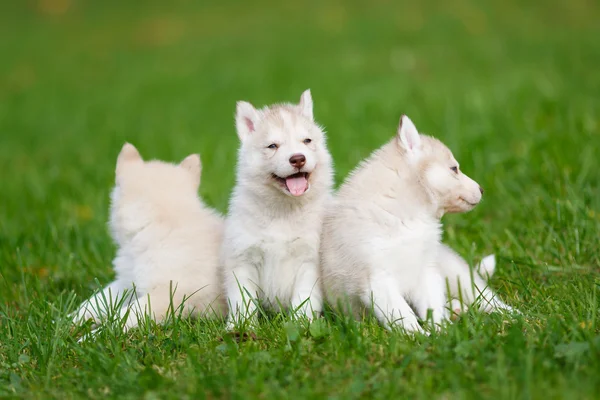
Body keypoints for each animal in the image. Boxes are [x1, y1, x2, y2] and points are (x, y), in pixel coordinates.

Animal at [72, 144, 226, 332]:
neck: (162, 227)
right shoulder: (127, 282)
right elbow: (97, 300)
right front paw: (69, 320)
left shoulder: (168, 295)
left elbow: (124, 316)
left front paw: (95, 334)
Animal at [221, 89, 336, 326]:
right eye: (272, 146)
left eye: (307, 140)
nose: (298, 159)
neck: (283, 211)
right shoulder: (242, 259)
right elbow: (242, 300)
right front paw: (240, 326)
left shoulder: (309, 261)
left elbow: (304, 299)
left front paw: (301, 324)